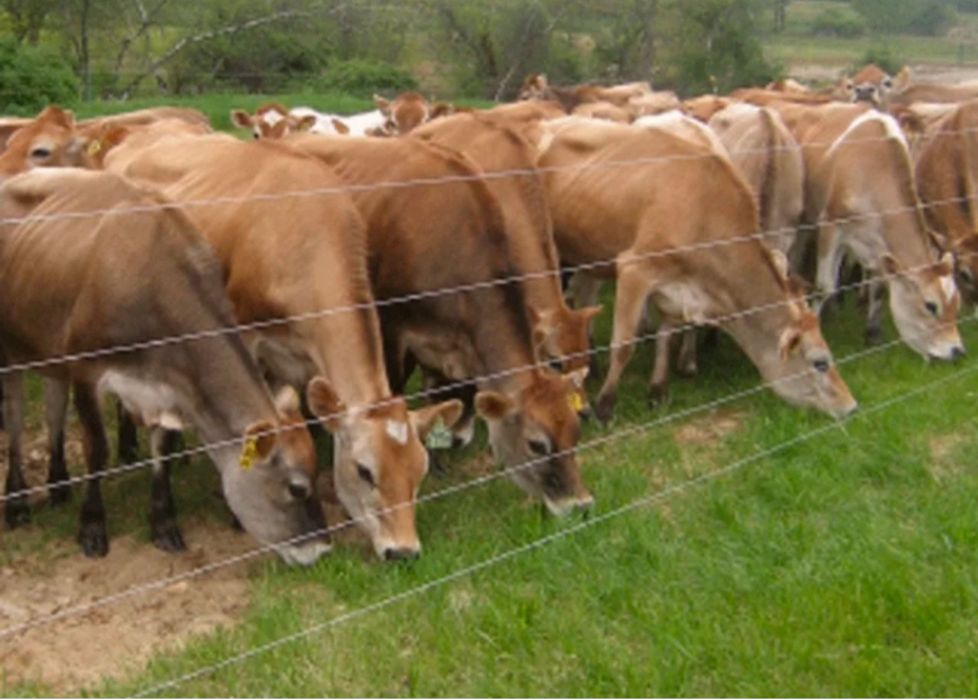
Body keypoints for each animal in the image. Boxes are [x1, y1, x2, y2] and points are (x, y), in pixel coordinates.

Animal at [0, 168, 331, 565]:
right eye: (297, 487)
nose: (323, 548)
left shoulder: (169, 387)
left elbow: (163, 452)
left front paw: (164, 523)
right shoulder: (85, 370)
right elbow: (97, 449)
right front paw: (92, 526)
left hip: (49, 351)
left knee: (53, 409)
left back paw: (58, 484)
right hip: (12, 353)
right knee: (15, 420)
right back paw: (17, 503)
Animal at [527, 117, 858, 420]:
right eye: (820, 362)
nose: (852, 406)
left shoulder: (676, 287)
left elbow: (667, 335)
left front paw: (658, 391)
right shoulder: (635, 269)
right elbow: (624, 344)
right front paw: (605, 406)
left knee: (584, 295)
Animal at [770, 102, 965, 359]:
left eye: (957, 303)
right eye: (930, 305)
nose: (957, 351)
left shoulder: (880, 244)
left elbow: (880, 287)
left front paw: (873, 333)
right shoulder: (830, 226)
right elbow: (824, 287)